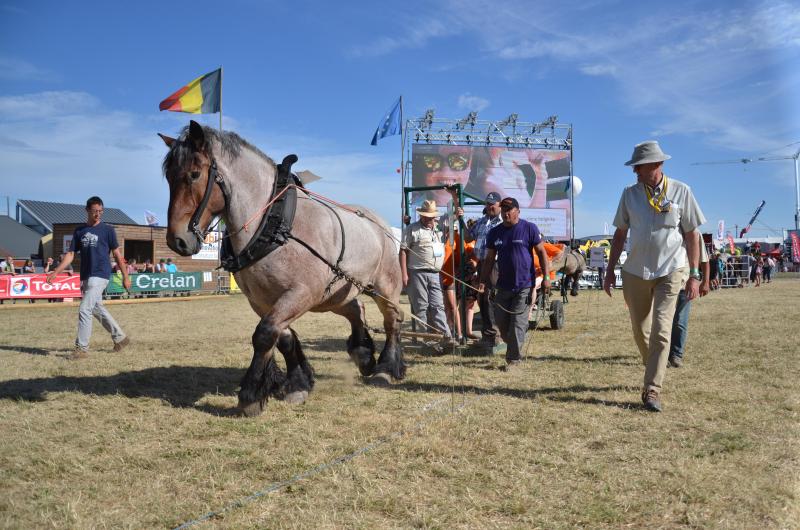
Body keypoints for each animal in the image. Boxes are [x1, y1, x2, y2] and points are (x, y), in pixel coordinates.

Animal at [160, 120, 406, 416]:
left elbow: (265, 334)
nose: (177, 240)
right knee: (356, 309)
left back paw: (385, 368)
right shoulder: (262, 299)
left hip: (383, 287)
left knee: (391, 320)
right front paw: (298, 382)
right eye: (168, 178)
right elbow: (283, 337)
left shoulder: (301, 292)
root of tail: (379, 222)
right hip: (333, 294)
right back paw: (363, 354)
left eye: (194, 174)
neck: (273, 223)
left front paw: (251, 395)